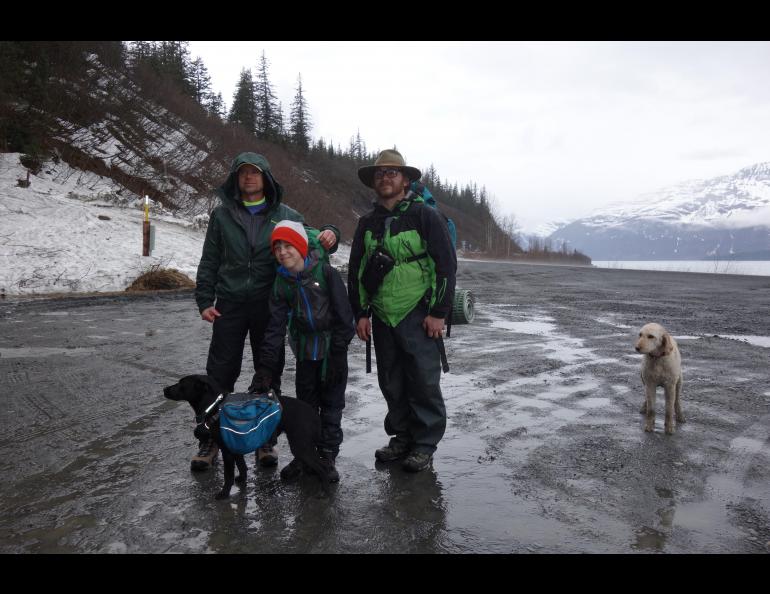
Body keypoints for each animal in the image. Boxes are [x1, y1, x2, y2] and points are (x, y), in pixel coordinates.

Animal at [164, 372, 328, 498]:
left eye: (181, 384)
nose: (164, 389)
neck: (216, 405)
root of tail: (315, 415)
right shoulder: (236, 446)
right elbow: (242, 466)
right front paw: (242, 480)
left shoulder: (227, 451)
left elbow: (228, 475)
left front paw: (224, 493)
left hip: (300, 446)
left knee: (323, 467)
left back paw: (324, 491)